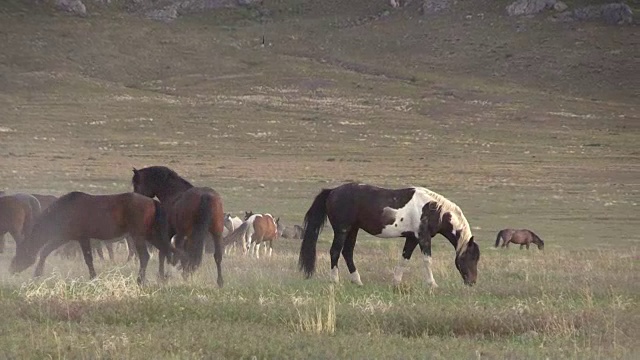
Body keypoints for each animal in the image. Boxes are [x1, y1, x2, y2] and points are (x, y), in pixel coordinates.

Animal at [8, 191, 180, 284]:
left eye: (19, 255)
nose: (11, 270)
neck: (64, 210)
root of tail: (153, 202)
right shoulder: (67, 237)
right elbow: (46, 251)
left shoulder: (76, 237)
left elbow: (87, 258)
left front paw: (92, 277)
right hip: (150, 234)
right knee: (165, 252)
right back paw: (163, 275)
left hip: (138, 236)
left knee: (145, 256)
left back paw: (140, 279)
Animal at [300, 183, 480, 286]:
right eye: (471, 257)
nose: (472, 282)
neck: (433, 209)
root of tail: (332, 191)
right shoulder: (423, 237)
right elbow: (427, 260)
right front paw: (432, 284)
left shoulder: (412, 238)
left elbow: (404, 259)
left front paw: (396, 282)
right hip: (342, 230)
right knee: (335, 252)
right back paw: (335, 281)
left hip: (353, 230)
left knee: (347, 253)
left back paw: (357, 281)